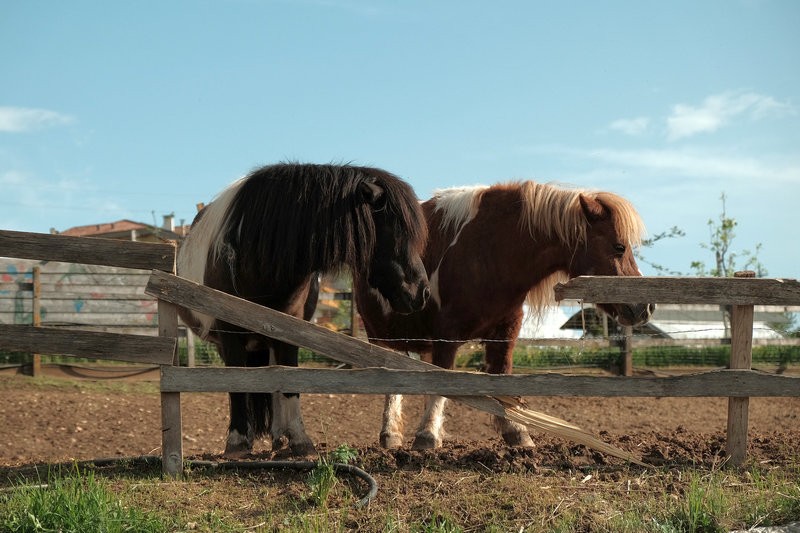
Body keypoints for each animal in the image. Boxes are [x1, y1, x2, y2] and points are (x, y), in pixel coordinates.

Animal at [177, 163, 432, 458]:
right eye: (395, 232)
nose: (422, 292)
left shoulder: (289, 331)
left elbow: (289, 384)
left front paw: (299, 440)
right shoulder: (230, 335)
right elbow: (237, 386)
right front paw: (238, 443)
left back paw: (278, 437)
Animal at [356, 180, 656, 448]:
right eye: (619, 246)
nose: (647, 306)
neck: (490, 251)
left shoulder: (505, 332)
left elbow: (502, 378)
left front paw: (516, 431)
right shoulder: (446, 334)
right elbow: (443, 380)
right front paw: (427, 435)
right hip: (381, 333)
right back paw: (390, 433)